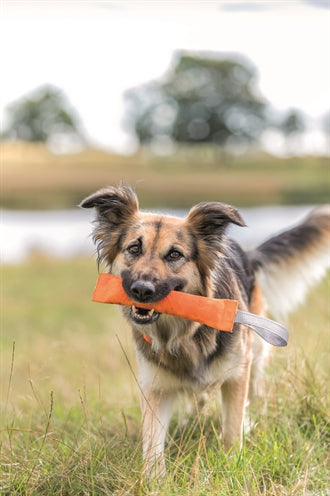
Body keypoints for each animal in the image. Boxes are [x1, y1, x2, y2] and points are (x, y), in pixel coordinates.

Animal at [80, 186, 330, 476]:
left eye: (174, 254)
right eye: (134, 248)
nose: (141, 290)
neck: (183, 333)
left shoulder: (237, 373)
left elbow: (232, 427)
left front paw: (232, 465)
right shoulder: (155, 385)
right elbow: (152, 441)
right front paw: (153, 479)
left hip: (256, 354)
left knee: (252, 393)